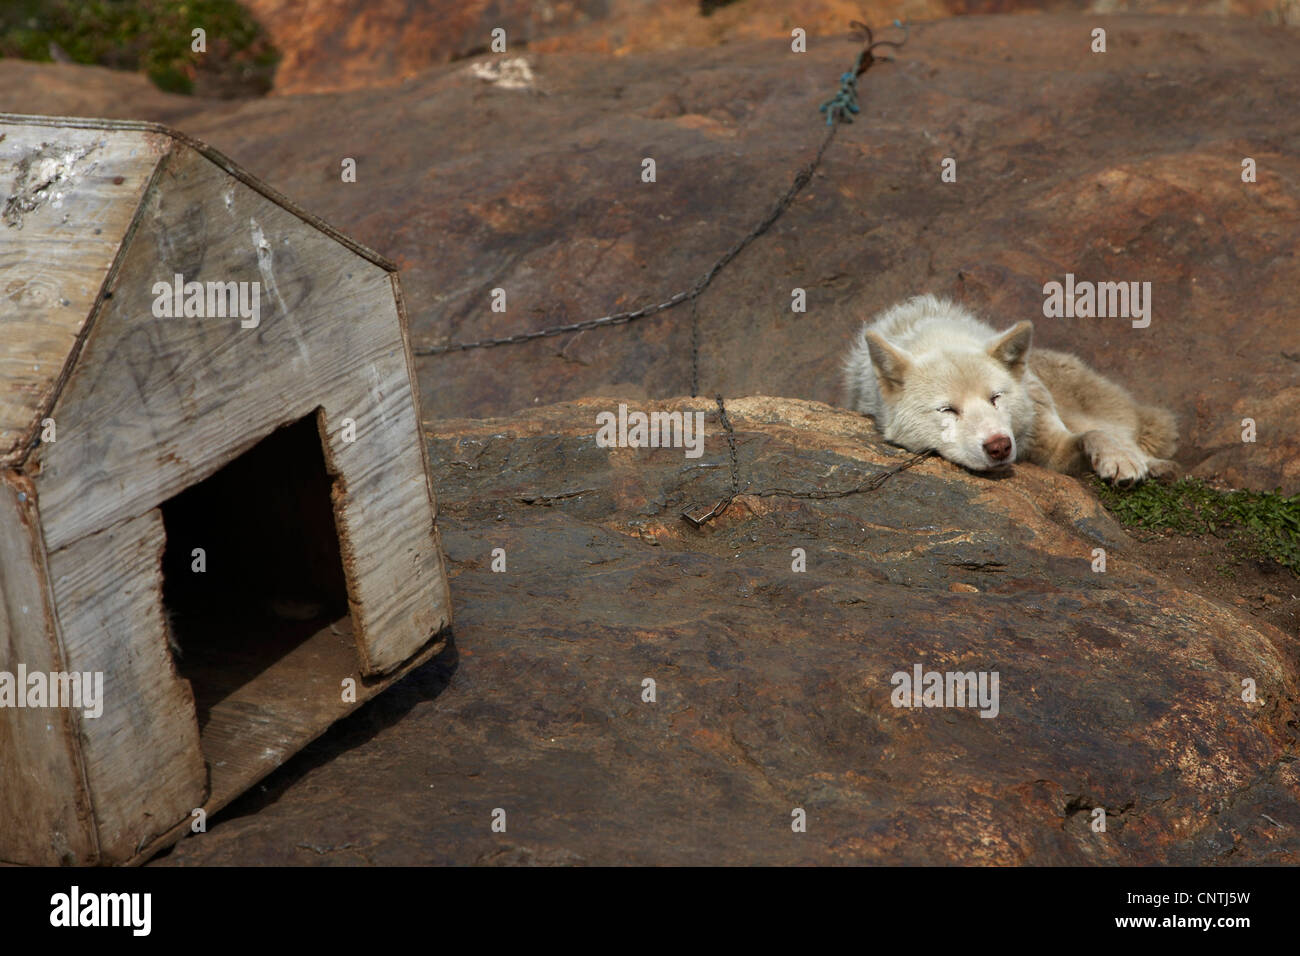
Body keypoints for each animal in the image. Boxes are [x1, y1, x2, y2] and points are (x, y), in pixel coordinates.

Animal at [842, 293, 1180, 486]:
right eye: (948, 410)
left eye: (996, 398)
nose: (999, 446)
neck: (939, 334)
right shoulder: (1054, 460)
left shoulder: (1051, 442)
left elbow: (1094, 435)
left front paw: (1120, 460)